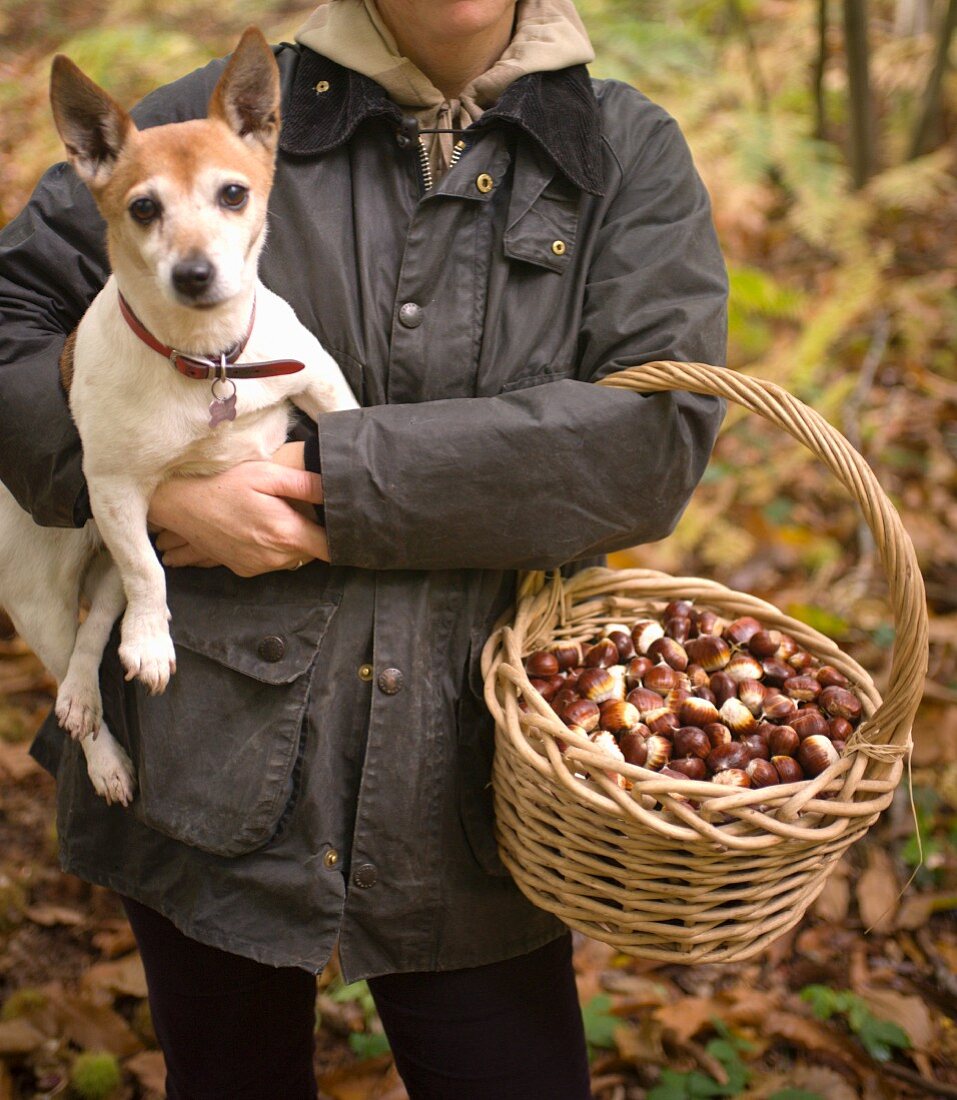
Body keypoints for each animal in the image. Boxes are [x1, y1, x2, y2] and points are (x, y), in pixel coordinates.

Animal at [0, 23, 358, 800]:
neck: (208, 359)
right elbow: (147, 576)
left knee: (99, 621)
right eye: (143, 208)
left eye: (233, 194)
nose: (194, 274)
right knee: (80, 643)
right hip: (42, 593)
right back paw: (99, 739)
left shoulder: (320, 384)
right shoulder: (113, 491)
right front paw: (152, 646)